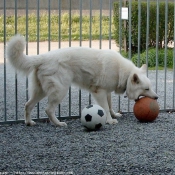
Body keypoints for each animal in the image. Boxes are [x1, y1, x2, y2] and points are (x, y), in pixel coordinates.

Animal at [6, 34, 158, 126]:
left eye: (150, 87)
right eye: (146, 88)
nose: (156, 98)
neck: (123, 73)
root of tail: (43, 57)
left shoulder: (107, 92)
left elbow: (109, 106)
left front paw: (115, 115)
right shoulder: (99, 93)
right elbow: (105, 108)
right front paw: (110, 121)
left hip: (40, 91)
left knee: (27, 105)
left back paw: (29, 122)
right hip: (60, 91)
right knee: (48, 109)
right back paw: (58, 124)